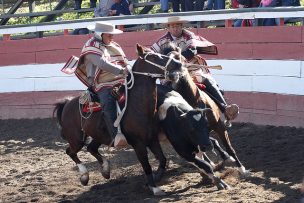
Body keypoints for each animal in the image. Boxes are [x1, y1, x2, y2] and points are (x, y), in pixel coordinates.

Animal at [53, 44, 184, 195]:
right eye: (153, 57)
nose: (179, 63)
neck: (137, 106)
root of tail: (67, 103)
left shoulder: (152, 139)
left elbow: (162, 159)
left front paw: (155, 180)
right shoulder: (138, 144)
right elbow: (146, 166)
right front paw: (154, 188)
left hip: (98, 136)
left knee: (91, 148)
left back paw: (105, 170)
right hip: (76, 139)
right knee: (70, 151)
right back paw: (84, 176)